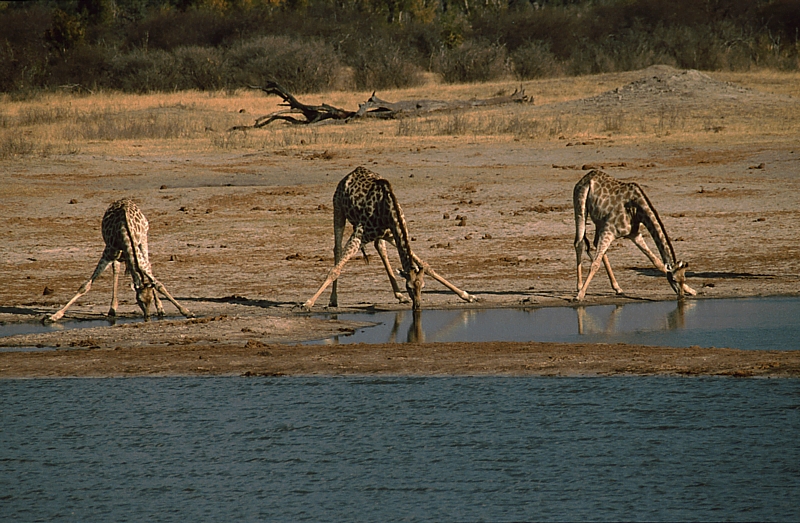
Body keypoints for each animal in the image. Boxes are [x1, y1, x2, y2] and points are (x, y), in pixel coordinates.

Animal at [45, 200, 194, 324]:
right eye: (139, 300)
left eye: (150, 299)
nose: (147, 317)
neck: (125, 232)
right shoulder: (108, 253)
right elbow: (85, 286)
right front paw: (54, 316)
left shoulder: (138, 253)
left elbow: (157, 283)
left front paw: (186, 312)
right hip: (116, 253)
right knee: (116, 270)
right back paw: (112, 309)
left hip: (143, 242)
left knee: (145, 266)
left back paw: (159, 309)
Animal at [300, 167, 476, 312]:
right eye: (409, 287)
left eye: (423, 286)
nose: (418, 306)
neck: (387, 209)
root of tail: (349, 175)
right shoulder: (359, 235)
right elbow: (335, 270)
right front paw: (308, 303)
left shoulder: (393, 234)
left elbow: (426, 265)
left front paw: (467, 295)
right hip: (338, 209)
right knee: (337, 249)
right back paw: (333, 300)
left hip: (382, 235)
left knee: (380, 248)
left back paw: (399, 296)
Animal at [572, 171, 696, 300]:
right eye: (674, 279)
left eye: (684, 278)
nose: (681, 297)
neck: (637, 209)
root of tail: (586, 177)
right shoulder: (609, 231)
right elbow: (595, 264)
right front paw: (580, 295)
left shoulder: (634, 234)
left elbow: (657, 262)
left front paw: (691, 290)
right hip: (580, 207)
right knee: (579, 243)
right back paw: (579, 287)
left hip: (599, 222)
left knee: (596, 244)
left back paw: (617, 288)